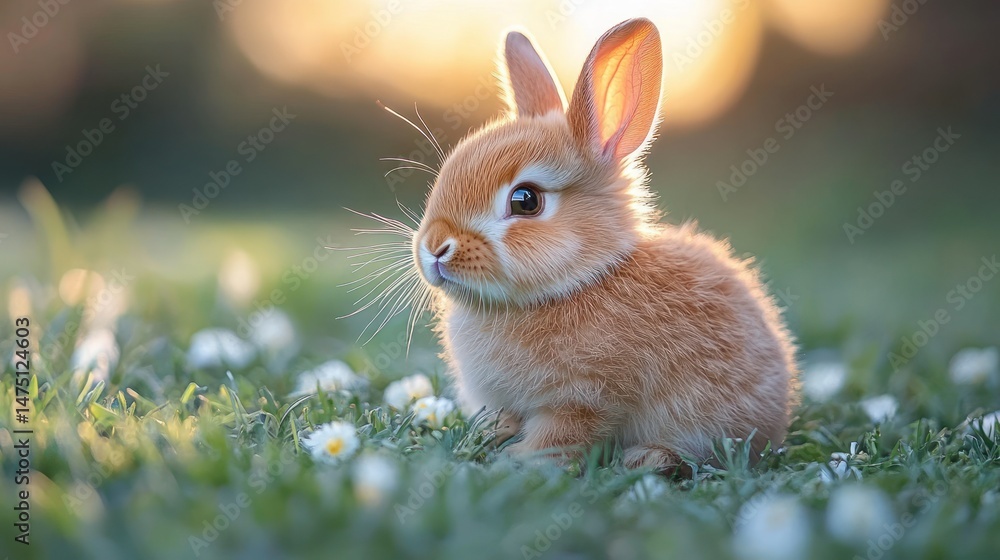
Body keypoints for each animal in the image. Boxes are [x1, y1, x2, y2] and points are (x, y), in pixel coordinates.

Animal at [409, 17, 798, 472]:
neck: (579, 281)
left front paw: (519, 460)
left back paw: (648, 458)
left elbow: (561, 436)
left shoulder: (584, 399)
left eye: (525, 200)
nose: (435, 247)